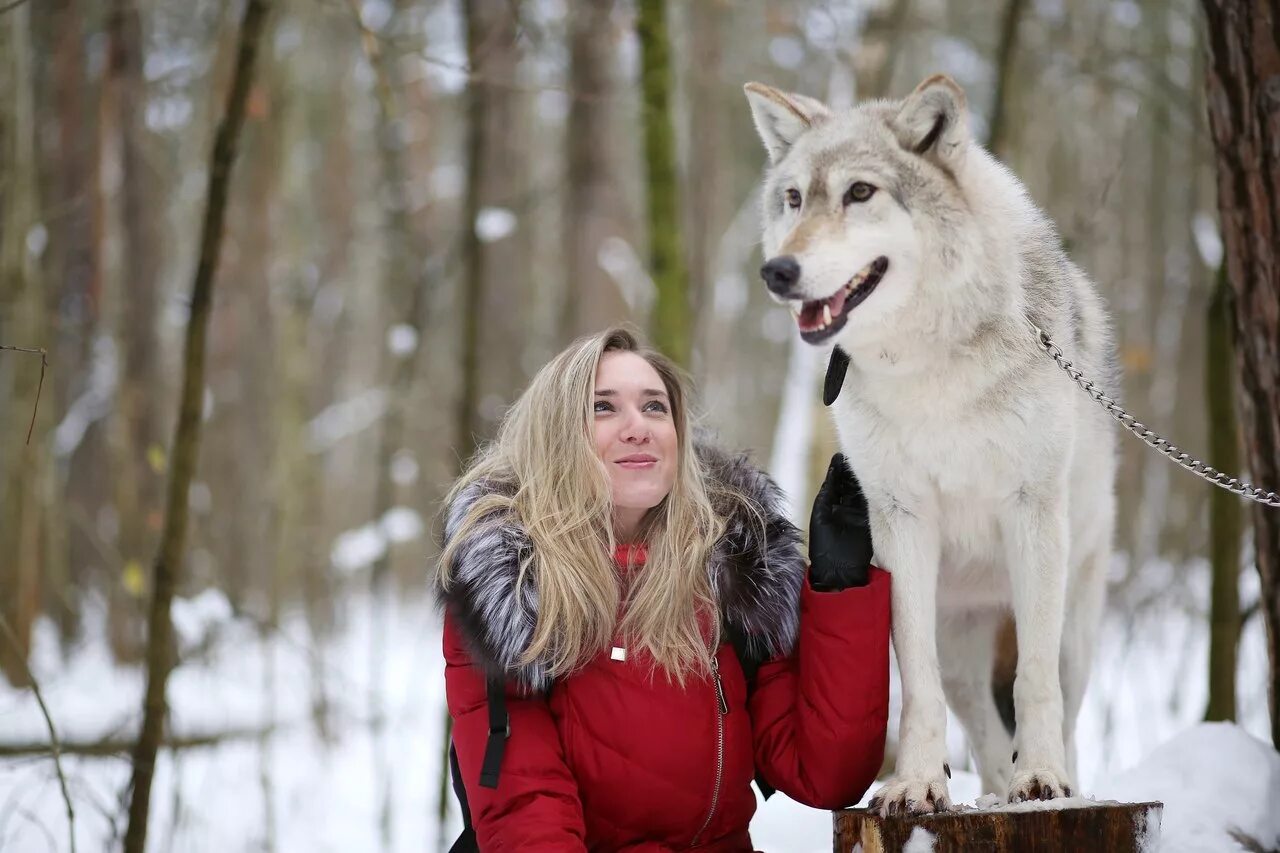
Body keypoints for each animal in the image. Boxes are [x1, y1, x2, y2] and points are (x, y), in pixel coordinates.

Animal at [747, 74, 1116, 809]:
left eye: (861, 192)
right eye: (794, 198)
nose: (778, 270)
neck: (926, 366)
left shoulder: (1033, 509)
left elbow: (1035, 683)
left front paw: (1042, 778)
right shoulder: (901, 523)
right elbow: (916, 683)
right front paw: (916, 785)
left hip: (1074, 613)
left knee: (1061, 700)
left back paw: (1055, 784)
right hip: (961, 636)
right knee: (978, 722)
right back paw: (995, 794)